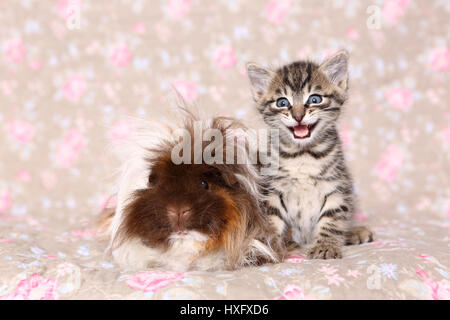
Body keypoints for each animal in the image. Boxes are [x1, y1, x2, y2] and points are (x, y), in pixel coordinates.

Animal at [246, 50, 372, 260]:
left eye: (315, 99)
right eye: (282, 102)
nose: (298, 116)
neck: (302, 155)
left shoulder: (337, 185)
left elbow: (332, 219)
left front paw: (326, 246)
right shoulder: (272, 189)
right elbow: (270, 220)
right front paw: (266, 247)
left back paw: (355, 232)